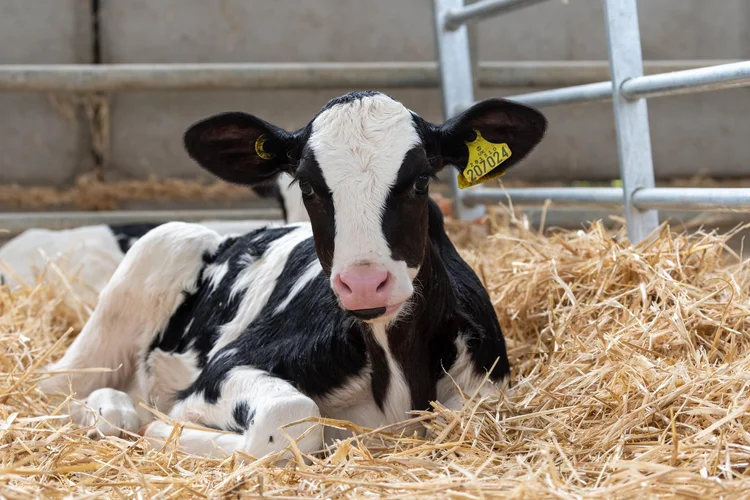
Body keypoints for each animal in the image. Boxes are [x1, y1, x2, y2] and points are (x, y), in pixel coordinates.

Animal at [40, 91, 547, 460]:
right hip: (157, 251)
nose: (364, 283)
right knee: (54, 387)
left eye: (421, 179)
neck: (397, 378)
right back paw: (110, 410)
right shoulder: (226, 368)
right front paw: (164, 427)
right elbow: (289, 420)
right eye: (307, 186)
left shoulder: (486, 388)